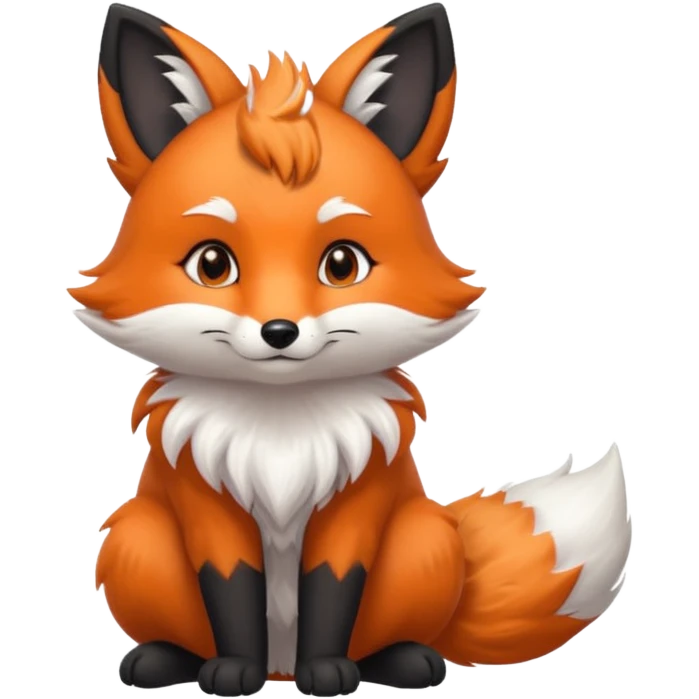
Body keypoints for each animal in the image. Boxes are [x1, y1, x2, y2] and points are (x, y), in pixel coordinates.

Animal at [72, 2, 633, 696]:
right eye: (213, 265)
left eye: (342, 264)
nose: (279, 331)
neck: (281, 431)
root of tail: (279, 665)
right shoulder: (206, 503)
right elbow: (231, 589)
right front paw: (232, 671)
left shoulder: (357, 502)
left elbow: (334, 588)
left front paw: (329, 672)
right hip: (137, 535)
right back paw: (164, 659)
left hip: (426, 537)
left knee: (395, 631)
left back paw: (400, 661)